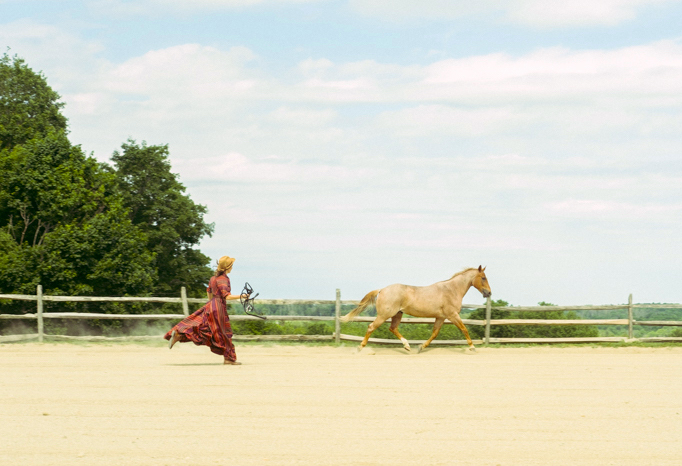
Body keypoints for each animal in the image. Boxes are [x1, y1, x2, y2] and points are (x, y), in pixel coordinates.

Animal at [340, 266, 491, 353]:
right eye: (483, 278)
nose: (489, 293)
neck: (451, 290)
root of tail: (382, 289)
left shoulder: (441, 317)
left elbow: (434, 333)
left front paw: (421, 347)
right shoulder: (453, 315)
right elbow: (464, 329)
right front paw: (472, 347)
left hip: (397, 314)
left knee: (393, 328)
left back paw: (407, 346)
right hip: (384, 315)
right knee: (371, 327)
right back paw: (360, 347)